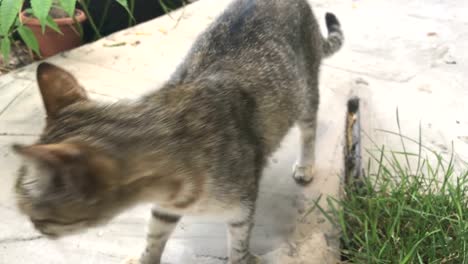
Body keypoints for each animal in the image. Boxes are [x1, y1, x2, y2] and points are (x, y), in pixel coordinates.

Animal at [12, 0, 344, 262]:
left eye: (37, 216)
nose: (34, 228)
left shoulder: (241, 212)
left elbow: (237, 250)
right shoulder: (163, 210)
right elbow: (153, 239)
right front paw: (145, 259)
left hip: (305, 93)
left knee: (309, 130)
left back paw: (305, 165)